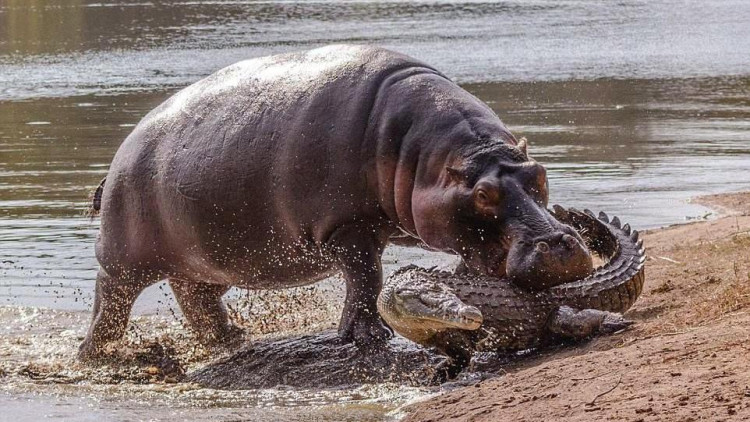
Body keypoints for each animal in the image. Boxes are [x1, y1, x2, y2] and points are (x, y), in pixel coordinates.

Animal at [76, 45, 592, 360]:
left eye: (539, 174)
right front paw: (368, 337)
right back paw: (98, 356)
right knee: (111, 301)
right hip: (125, 259)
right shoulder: (348, 227)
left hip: (203, 259)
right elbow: (366, 279)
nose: (561, 244)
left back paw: (234, 338)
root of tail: (118, 158)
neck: (424, 155)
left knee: (196, 298)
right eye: (484, 194)